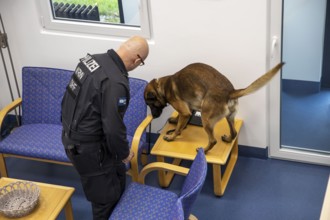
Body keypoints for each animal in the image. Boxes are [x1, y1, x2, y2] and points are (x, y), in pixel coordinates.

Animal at [144, 62, 284, 153]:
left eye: (150, 104)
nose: (153, 116)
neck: (162, 86)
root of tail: (230, 92)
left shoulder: (185, 112)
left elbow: (179, 128)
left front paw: (172, 136)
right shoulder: (189, 110)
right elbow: (181, 119)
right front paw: (174, 120)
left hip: (205, 119)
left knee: (213, 141)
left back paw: (204, 150)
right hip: (229, 117)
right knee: (233, 133)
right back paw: (228, 139)